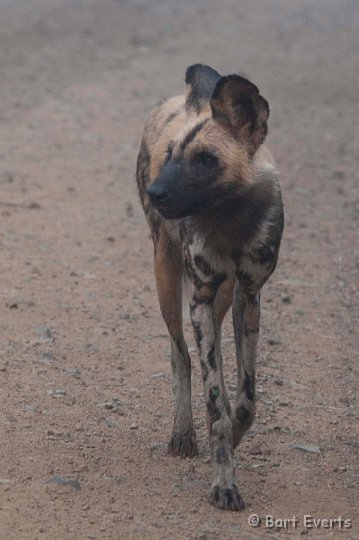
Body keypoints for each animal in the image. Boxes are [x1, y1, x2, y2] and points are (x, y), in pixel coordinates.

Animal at [136, 64, 284, 510]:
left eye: (206, 159)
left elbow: (246, 400)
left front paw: (233, 440)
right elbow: (215, 399)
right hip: (168, 279)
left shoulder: (248, 297)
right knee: (180, 354)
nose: (156, 192)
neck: (229, 218)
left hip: (221, 300)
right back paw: (183, 432)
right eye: (171, 156)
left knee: (211, 350)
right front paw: (224, 482)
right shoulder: (198, 299)